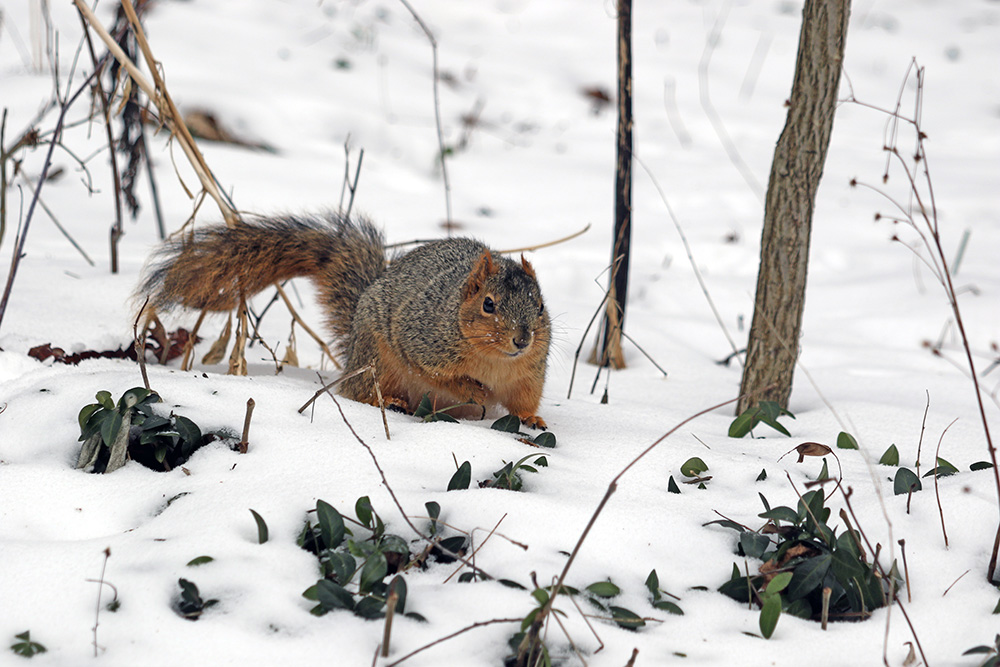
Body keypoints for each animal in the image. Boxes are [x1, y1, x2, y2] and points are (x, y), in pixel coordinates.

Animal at [138, 215, 552, 434]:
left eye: (540, 305)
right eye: (488, 304)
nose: (522, 339)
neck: (494, 360)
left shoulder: (528, 373)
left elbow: (523, 399)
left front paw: (530, 418)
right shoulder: (419, 341)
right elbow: (439, 376)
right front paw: (473, 389)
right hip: (377, 359)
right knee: (360, 390)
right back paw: (391, 401)